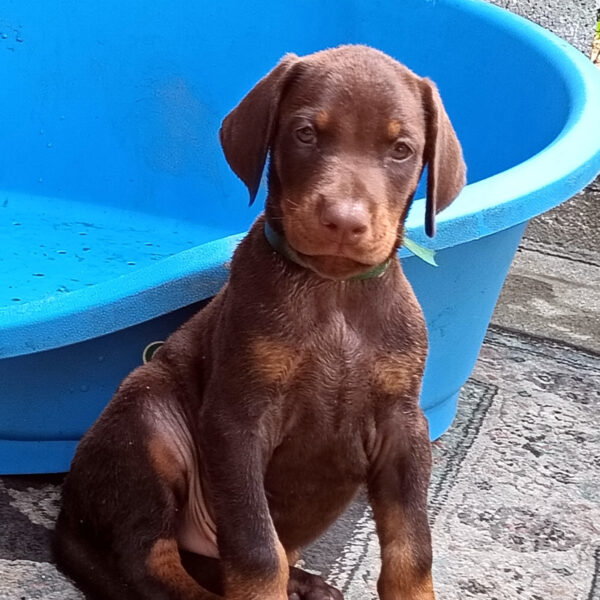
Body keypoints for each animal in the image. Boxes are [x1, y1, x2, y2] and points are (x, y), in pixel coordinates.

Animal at [54, 43, 466, 600]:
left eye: (401, 149)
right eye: (305, 133)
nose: (344, 221)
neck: (333, 293)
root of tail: (68, 520)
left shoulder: (403, 425)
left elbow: (412, 548)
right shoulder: (239, 421)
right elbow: (255, 549)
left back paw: (306, 583)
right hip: (151, 417)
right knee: (149, 564)